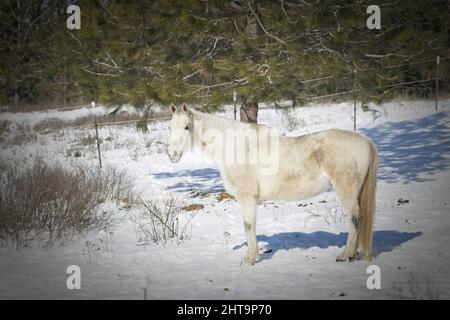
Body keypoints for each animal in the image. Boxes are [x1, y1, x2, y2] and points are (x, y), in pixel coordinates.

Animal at [167, 104, 378, 266]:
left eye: (186, 127)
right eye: (169, 127)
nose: (172, 155)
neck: (236, 147)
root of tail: (366, 141)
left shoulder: (246, 197)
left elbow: (248, 225)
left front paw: (249, 259)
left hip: (346, 191)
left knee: (355, 218)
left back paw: (345, 255)